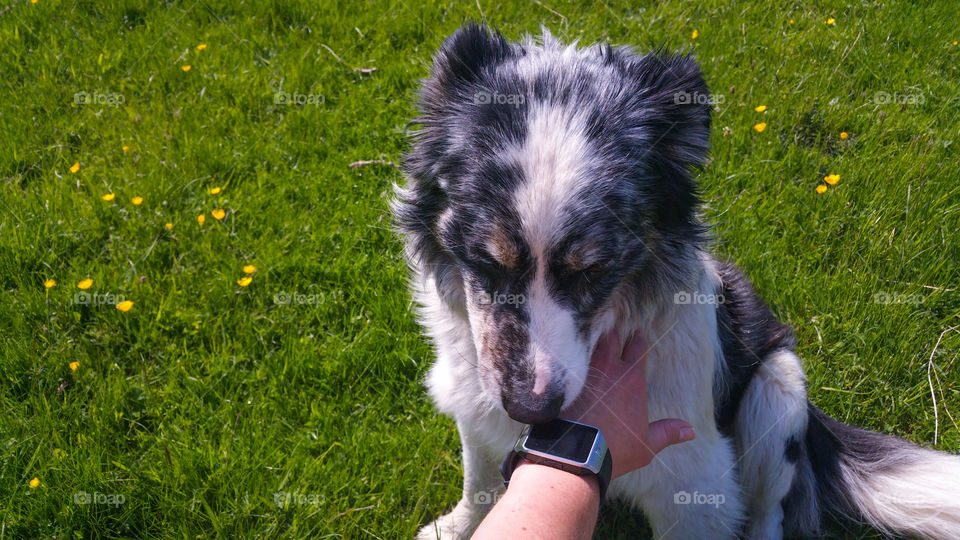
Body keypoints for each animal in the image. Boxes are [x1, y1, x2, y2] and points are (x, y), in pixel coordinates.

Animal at [392, 23, 960, 536]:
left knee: (771, 509)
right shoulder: (474, 409)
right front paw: (454, 528)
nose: (530, 408)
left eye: (595, 270)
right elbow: (479, 481)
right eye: (485, 262)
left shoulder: (696, 486)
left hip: (778, 389)